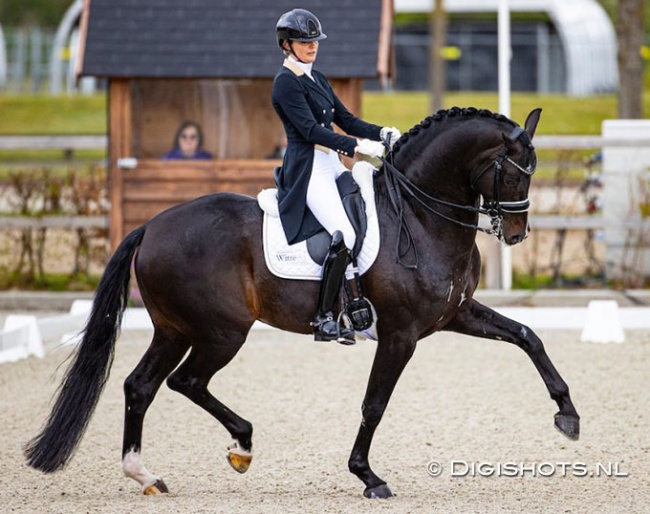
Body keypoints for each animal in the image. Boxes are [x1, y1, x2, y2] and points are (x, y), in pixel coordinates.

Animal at [25, 107, 580, 496]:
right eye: (515, 172)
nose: (516, 233)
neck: (421, 216)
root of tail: (152, 225)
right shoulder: (400, 334)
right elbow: (374, 403)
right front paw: (367, 476)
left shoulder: (455, 313)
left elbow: (527, 337)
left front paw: (567, 415)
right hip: (222, 331)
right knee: (186, 381)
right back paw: (241, 445)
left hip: (175, 329)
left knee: (141, 385)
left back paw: (146, 475)